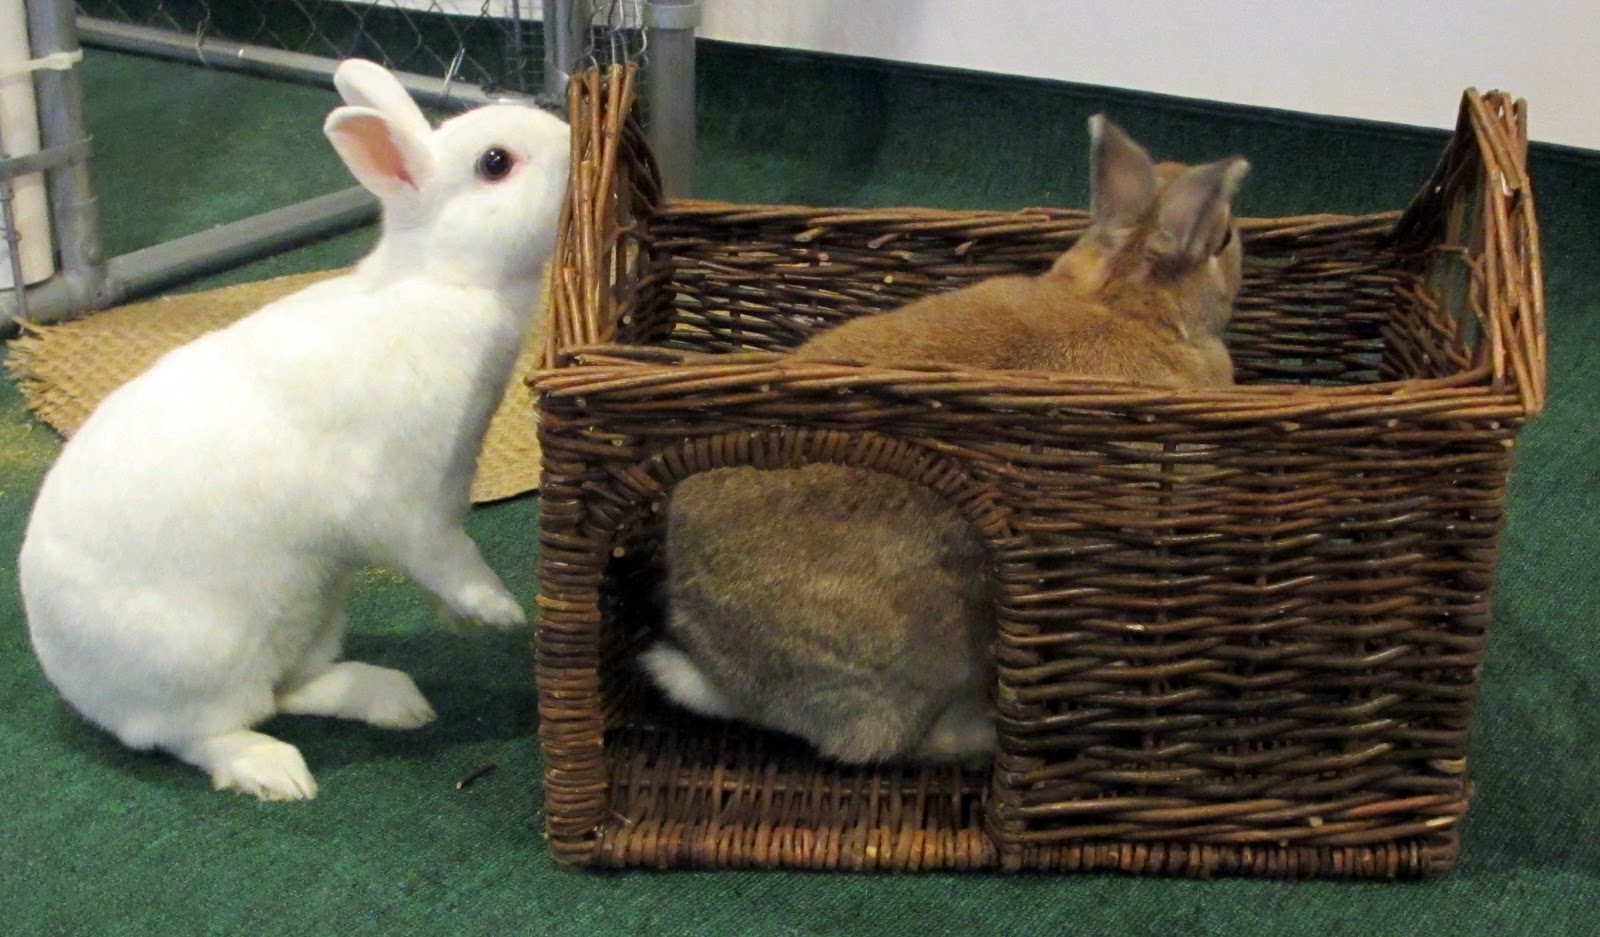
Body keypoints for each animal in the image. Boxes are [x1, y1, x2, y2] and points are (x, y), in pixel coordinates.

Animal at [17, 58, 570, 801]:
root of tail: (67, 675)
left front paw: (459, 621)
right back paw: (278, 771)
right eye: (495, 163)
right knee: (206, 732)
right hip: (201, 662)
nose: (573, 141)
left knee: (291, 687)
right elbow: (450, 559)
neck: (442, 283)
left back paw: (395, 699)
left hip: (314, 610)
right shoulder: (406, 507)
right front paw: (499, 612)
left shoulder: (446, 488)